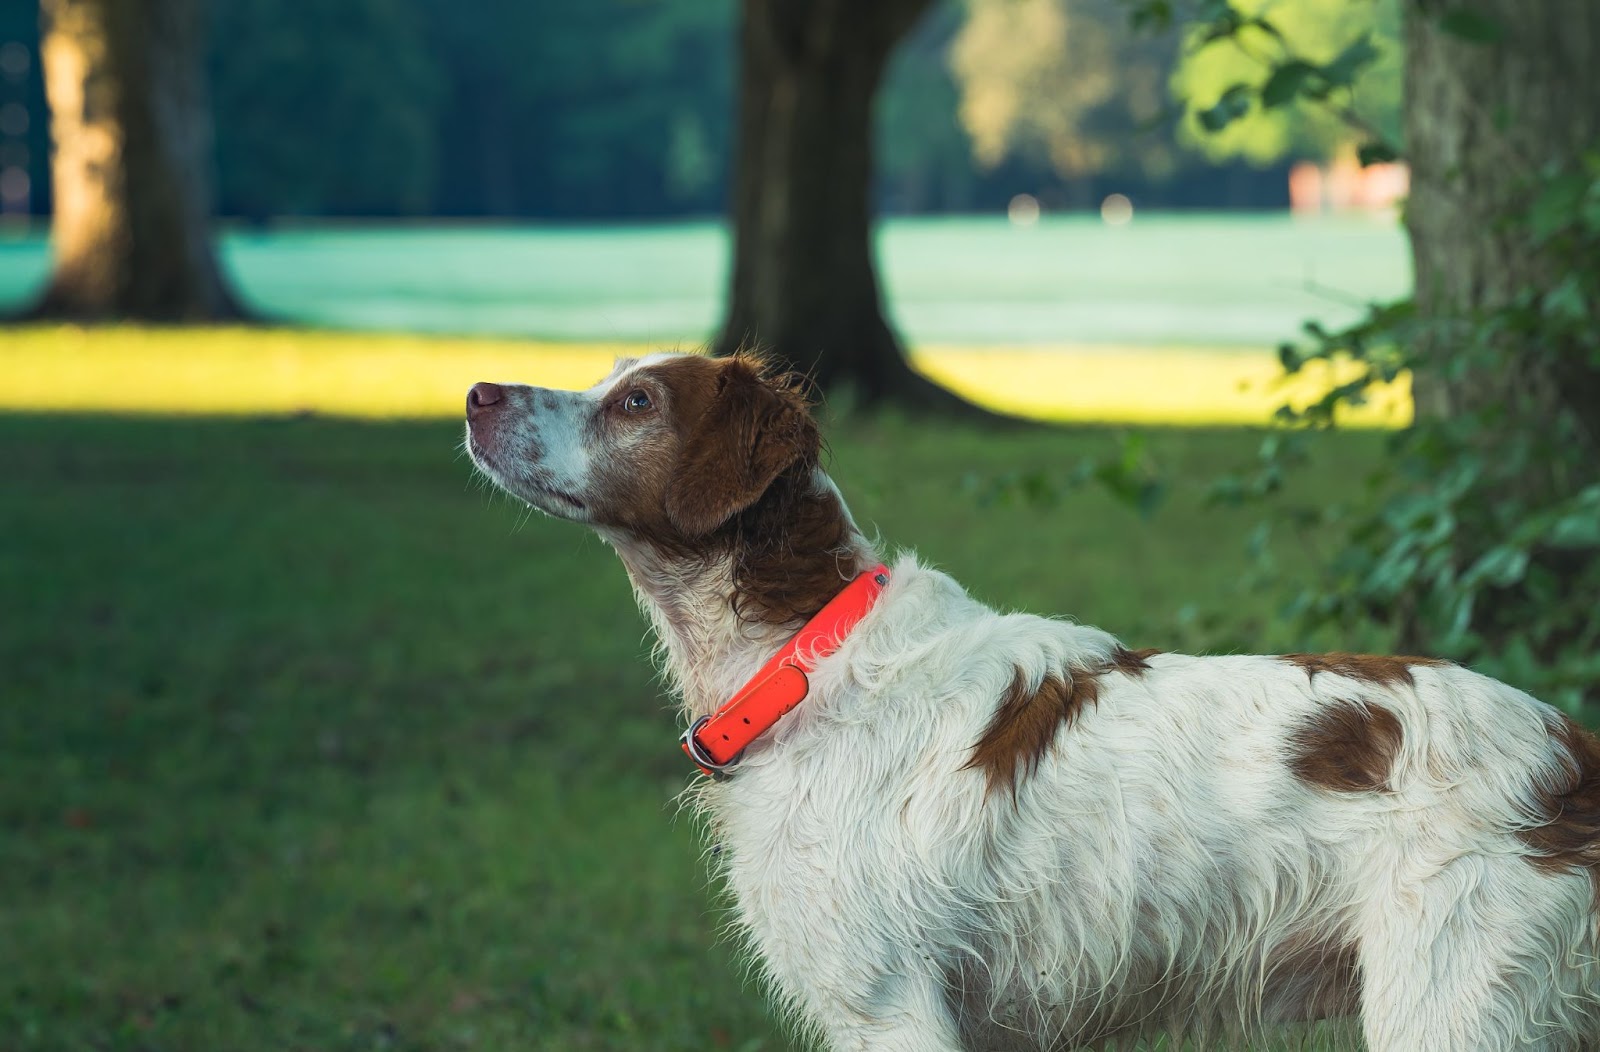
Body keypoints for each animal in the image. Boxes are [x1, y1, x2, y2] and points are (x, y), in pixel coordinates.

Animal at [464, 351, 1600, 1048]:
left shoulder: (887, 1003)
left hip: (1453, 1001)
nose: (476, 392)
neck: (804, 652)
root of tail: (1569, 747)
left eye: (638, 402)